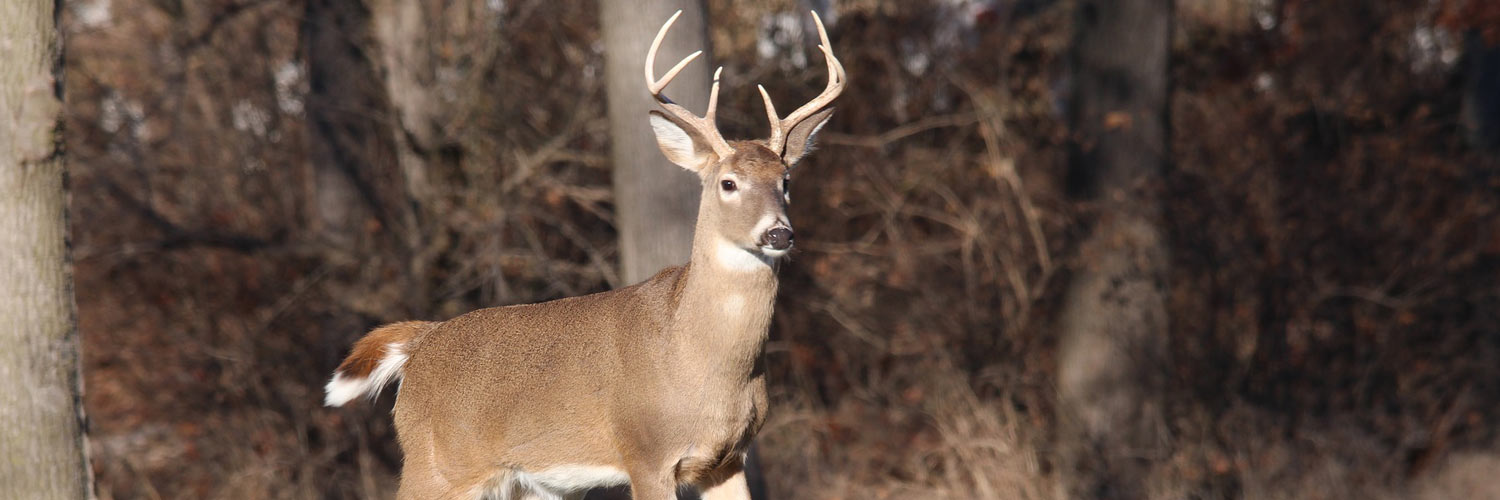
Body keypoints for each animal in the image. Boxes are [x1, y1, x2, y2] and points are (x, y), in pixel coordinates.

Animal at [323, 10, 844, 500]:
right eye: (728, 183)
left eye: (786, 181)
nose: (778, 233)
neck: (706, 361)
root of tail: (420, 344)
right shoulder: (646, 452)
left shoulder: (727, 459)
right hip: (435, 465)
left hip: (521, 483)